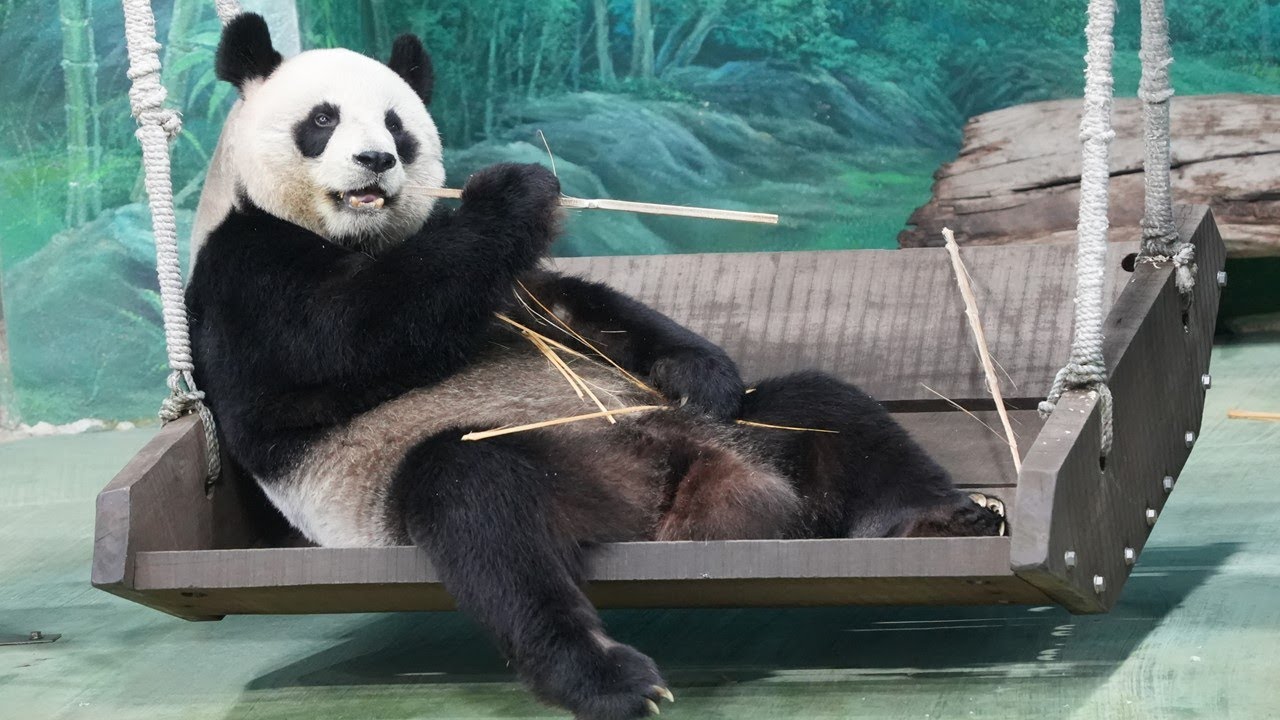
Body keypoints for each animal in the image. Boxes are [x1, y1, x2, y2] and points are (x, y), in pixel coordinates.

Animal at [189, 14, 1004, 720]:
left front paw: (700, 371)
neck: (359, 234)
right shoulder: (243, 277)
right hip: (499, 482)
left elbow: (579, 313)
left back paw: (941, 515)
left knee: (821, 406)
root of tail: (689, 494)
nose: (377, 162)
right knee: (484, 519)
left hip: (741, 437)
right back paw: (610, 678)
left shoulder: (515, 289)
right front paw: (514, 190)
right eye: (322, 120)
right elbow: (347, 335)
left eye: (395, 125)